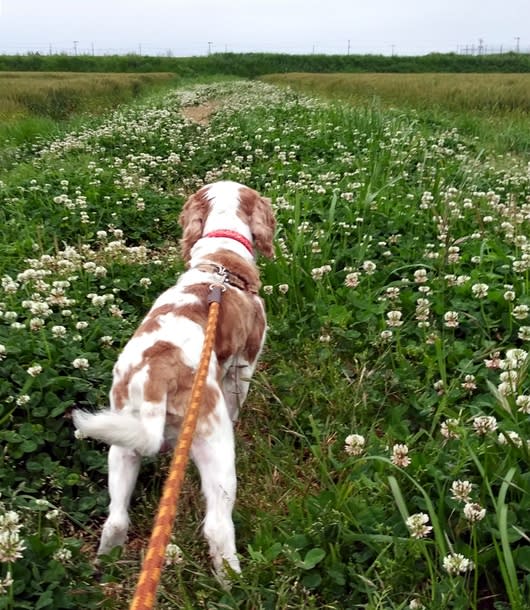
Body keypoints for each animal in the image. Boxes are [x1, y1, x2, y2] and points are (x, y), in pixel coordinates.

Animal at [72, 179, 274, 568]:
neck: (221, 262)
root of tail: (156, 375)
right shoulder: (243, 367)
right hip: (213, 443)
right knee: (217, 527)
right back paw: (235, 579)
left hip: (121, 442)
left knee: (116, 519)